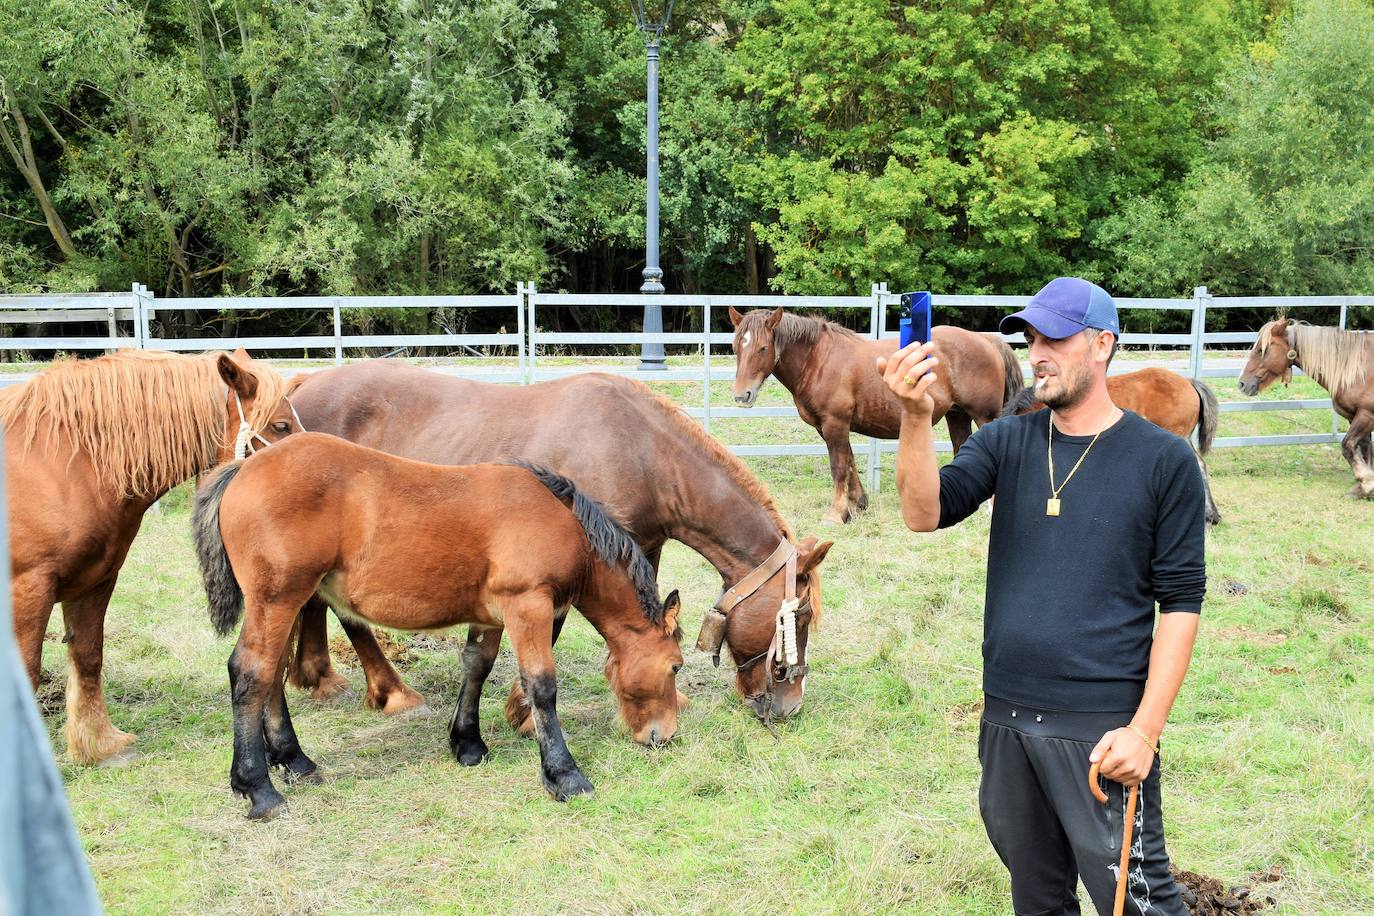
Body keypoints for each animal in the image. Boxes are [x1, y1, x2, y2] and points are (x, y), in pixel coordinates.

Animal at [0, 351, 299, 769]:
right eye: (281, 425)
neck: (65, 462)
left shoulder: (96, 580)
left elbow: (88, 657)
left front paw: (98, 745)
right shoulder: (29, 586)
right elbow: (28, 674)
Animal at [190, 433, 684, 818]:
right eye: (676, 666)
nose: (663, 736)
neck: (562, 521)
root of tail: (244, 466)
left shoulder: (491, 616)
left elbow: (477, 667)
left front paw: (467, 744)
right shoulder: (529, 606)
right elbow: (541, 685)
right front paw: (565, 776)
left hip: (287, 603)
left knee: (271, 674)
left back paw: (294, 761)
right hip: (277, 599)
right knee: (251, 673)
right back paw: (258, 788)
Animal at [730, 307, 1022, 521]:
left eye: (763, 348)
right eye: (736, 347)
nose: (742, 395)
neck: (818, 360)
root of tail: (987, 339)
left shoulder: (835, 423)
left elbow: (838, 467)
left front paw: (836, 513)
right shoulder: (829, 427)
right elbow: (849, 462)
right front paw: (857, 504)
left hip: (984, 416)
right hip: (957, 416)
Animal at [1236, 318, 1374, 497]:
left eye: (1262, 350)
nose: (1242, 383)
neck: (1360, 368)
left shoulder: (1366, 415)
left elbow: (1348, 445)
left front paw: (1367, 482)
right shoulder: (1355, 416)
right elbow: (1364, 449)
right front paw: (1363, 486)